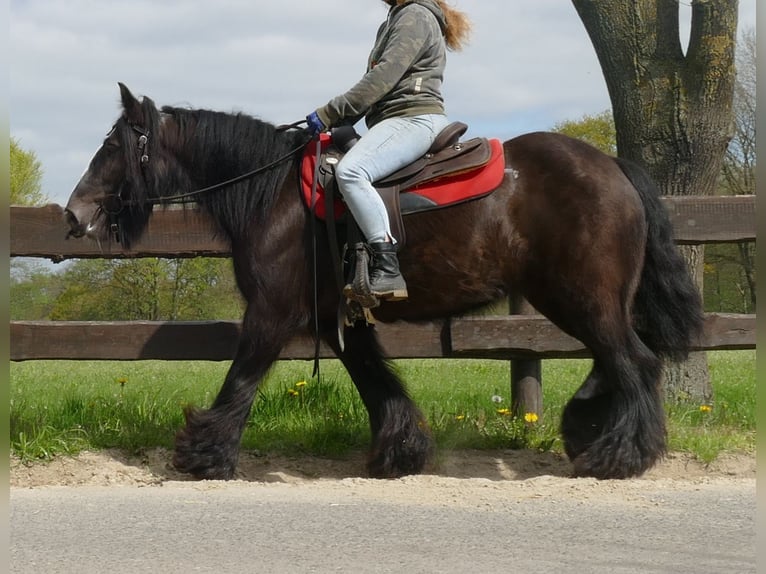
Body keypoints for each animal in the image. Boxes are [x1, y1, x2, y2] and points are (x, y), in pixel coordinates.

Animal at [63, 84, 704, 482]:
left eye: (114, 145)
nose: (74, 213)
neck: (275, 196)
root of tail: (612, 166)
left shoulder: (271, 312)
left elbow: (240, 380)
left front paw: (205, 454)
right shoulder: (334, 317)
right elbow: (376, 381)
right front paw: (402, 451)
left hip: (583, 298)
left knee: (635, 362)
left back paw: (620, 454)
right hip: (576, 299)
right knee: (616, 360)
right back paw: (589, 429)